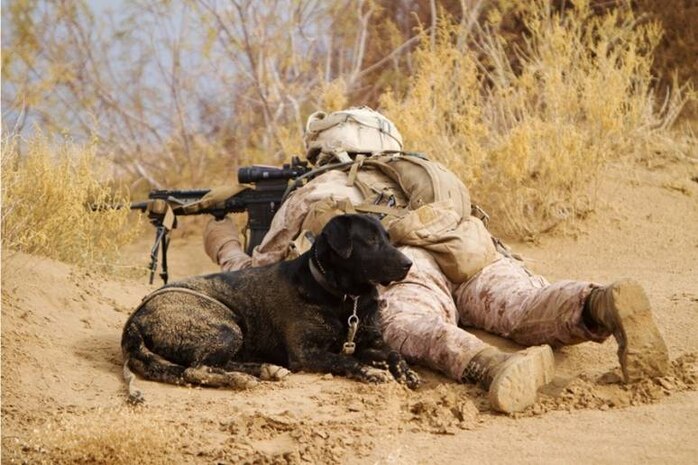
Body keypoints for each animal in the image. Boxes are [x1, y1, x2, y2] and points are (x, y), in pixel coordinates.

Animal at [120, 212, 418, 400]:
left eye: (388, 238)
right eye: (370, 240)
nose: (409, 264)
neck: (345, 298)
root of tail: (134, 321)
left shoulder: (369, 342)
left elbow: (394, 353)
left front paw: (406, 373)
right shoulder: (306, 353)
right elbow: (345, 359)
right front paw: (370, 371)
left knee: (215, 364)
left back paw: (265, 369)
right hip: (226, 328)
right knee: (197, 369)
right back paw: (242, 379)